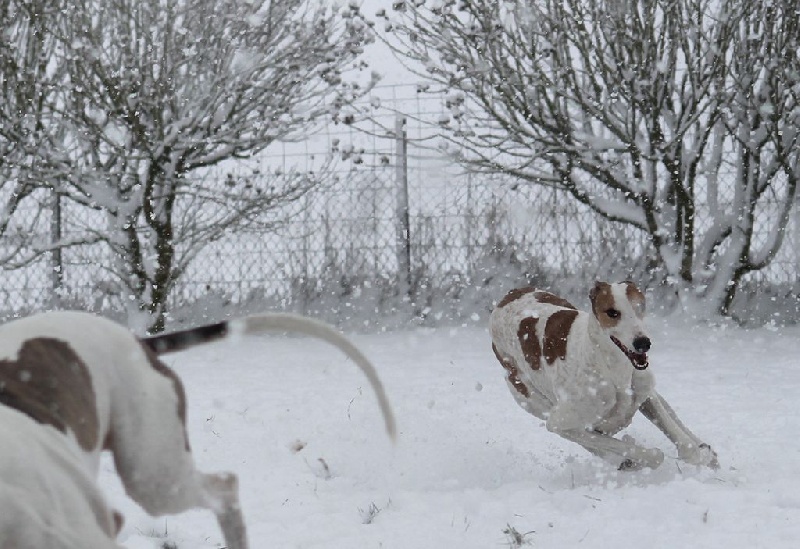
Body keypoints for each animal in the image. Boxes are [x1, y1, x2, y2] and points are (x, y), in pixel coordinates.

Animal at [489, 281, 718, 471]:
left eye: (640, 306)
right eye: (612, 312)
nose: (643, 343)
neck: (611, 367)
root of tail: (505, 299)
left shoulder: (645, 396)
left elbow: (681, 440)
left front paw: (700, 454)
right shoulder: (559, 422)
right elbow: (650, 454)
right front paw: (632, 460)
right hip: (531, 399)